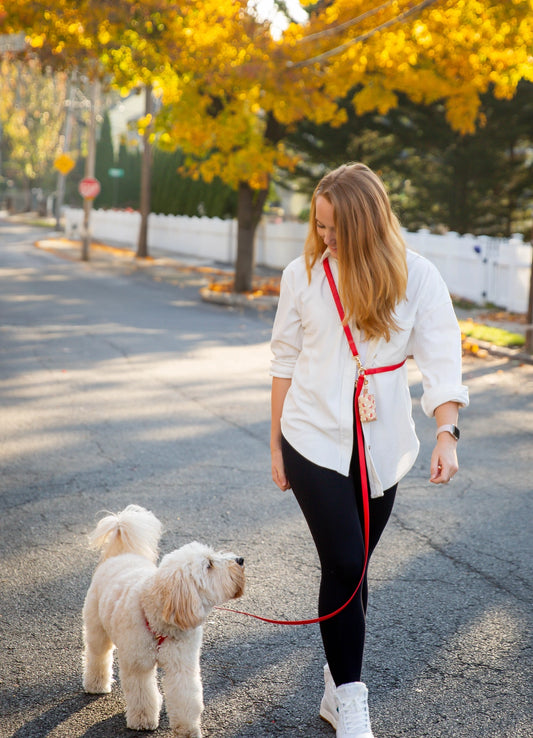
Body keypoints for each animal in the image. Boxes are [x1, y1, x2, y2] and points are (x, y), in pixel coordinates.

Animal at [81, 504, 245, 732]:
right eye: (209, 565)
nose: (240, 560)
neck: (160, 620)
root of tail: (121, 555)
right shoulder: (137, 665)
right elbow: (141, 695)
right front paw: (142, 720)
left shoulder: (182, 665)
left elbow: (185, 697)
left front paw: (187, 729)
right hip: (97, 628)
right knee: (97, 655)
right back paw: (95, 684)